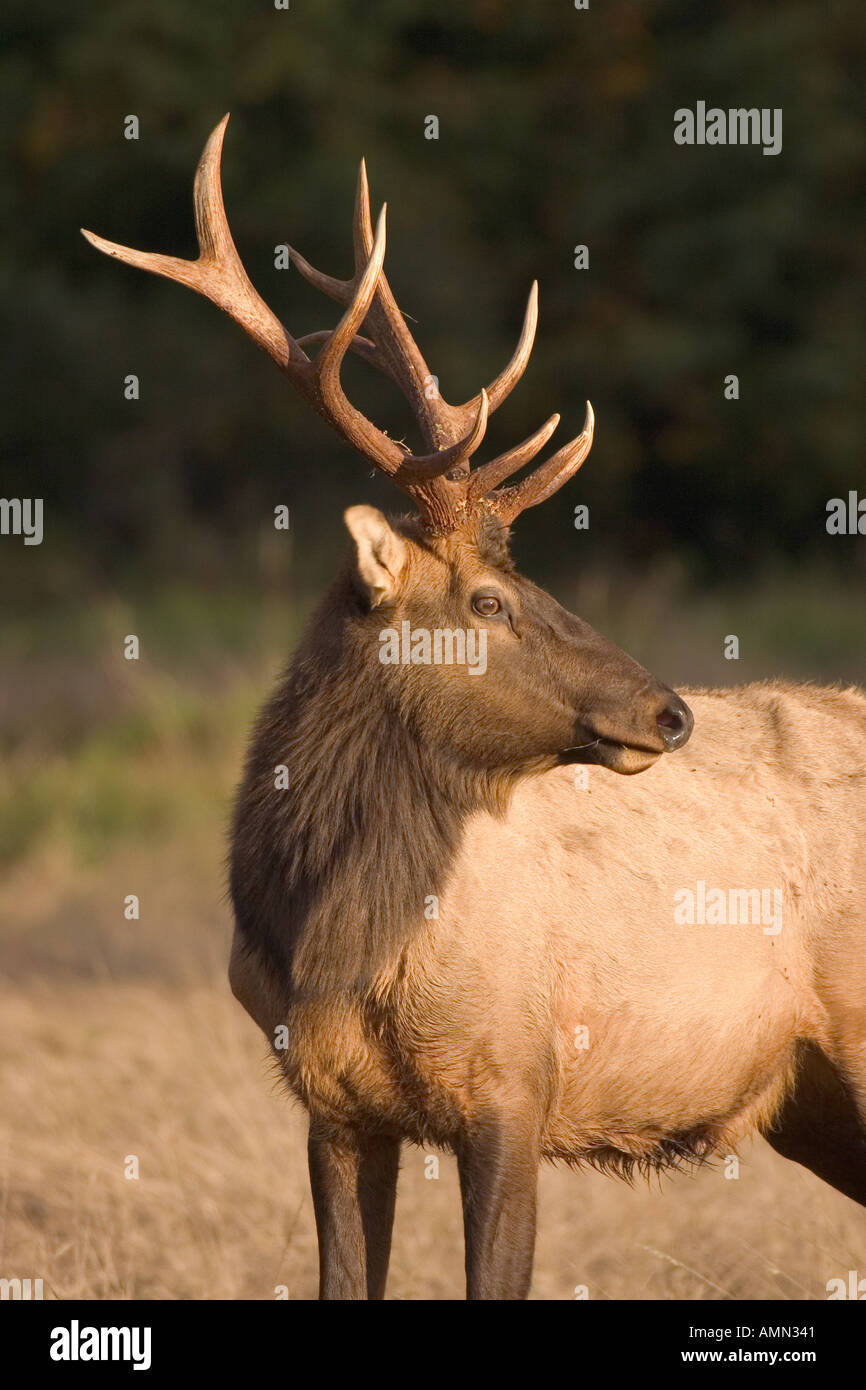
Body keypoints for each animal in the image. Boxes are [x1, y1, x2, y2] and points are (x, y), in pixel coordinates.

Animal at [84, 119, 866, 1301]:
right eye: (488, 599)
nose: (670, 712)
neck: (334, 950)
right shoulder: (332, 1107)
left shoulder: (513, 1076)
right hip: (812, 1098)